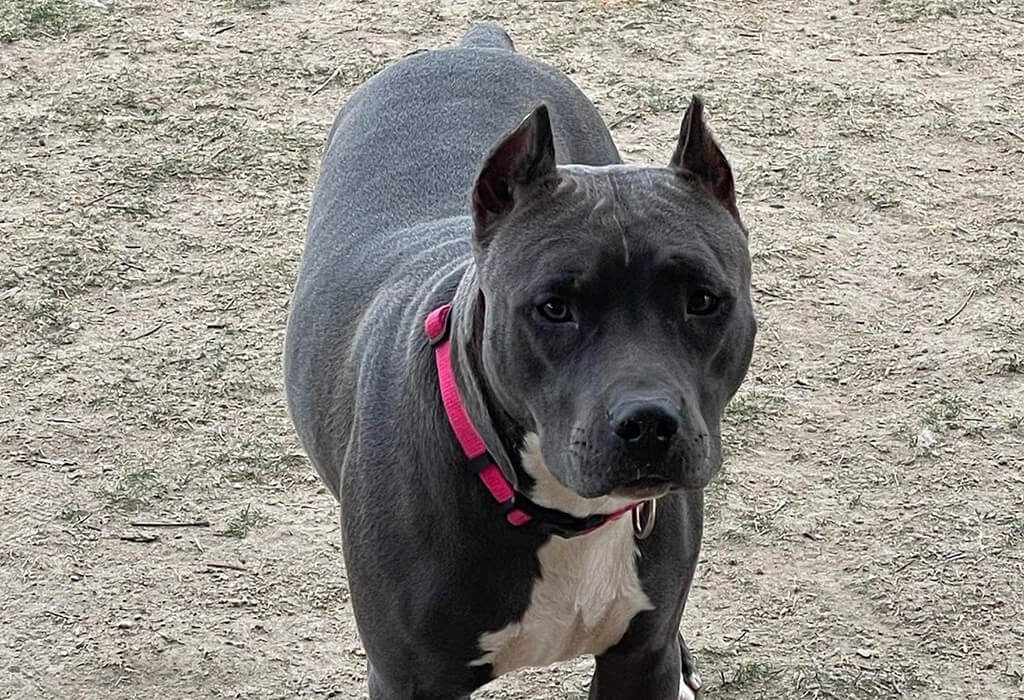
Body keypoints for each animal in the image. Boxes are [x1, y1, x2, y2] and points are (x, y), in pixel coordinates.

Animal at [284, 21, 757, 700]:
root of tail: (475, 47)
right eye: (554, 308)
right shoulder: (409, 681)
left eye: (703, 301)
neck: (564, 516)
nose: (648, 424)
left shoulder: (638, 662)